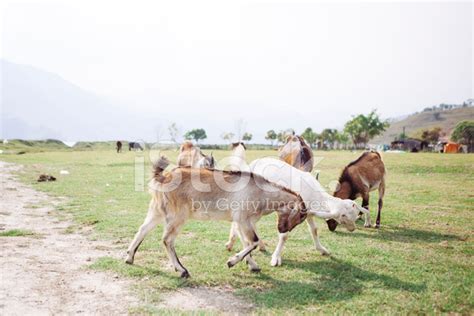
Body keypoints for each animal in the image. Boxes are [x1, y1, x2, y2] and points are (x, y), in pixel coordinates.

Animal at [126, 157, 310, 278]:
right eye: (301, 217)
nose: (283, 229)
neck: (262, 193)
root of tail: (164, 177)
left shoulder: (242, 221)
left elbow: (247, 242)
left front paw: (253, 266)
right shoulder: (243, 219)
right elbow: (255, 242)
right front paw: (231, 261)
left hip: (157, 210)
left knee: (143, 229)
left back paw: (129, 258)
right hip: (178, 216)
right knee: (167, 240)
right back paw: (182, 270)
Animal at [230, 158, 370, 266]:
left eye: (354, 214)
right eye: (343, 216)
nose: (352, 228)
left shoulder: (308, 213)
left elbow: (314, 230)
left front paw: (322, 250)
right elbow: (284, 235)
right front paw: (276, 258)